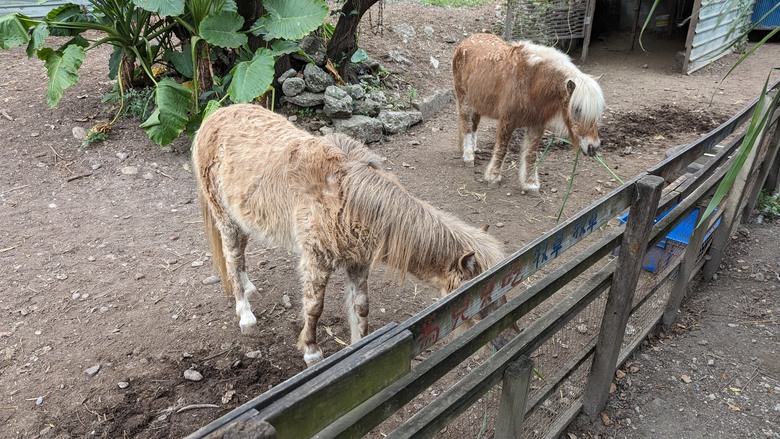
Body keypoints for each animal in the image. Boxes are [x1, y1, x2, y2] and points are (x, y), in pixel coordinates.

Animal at [193, 104, 506, 368]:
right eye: (480, 292)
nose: (503, 333)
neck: (348, 197)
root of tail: (212, 117)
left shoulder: (358, 262)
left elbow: (361, 306)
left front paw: (361, 346)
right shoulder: (316, 260)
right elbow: (314, 308)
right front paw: (312, 352)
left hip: (242, 219)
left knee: (240, 256)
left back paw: (249, 287)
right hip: (225, 219)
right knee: (232, 259)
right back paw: (246, 315)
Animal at [448, 33, 608, 194]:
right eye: (577, 109)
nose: (594, 147)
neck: (531, 83)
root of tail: (467, 41)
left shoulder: (537, 125)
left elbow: (531, 153)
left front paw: (530, 184)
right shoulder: (507, 122)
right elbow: (502, 149)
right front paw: (493, 177)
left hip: (477, 103)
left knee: (474, 125)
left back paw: (474, 149)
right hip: (464, 99)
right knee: (467, 126)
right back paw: (469, 157)